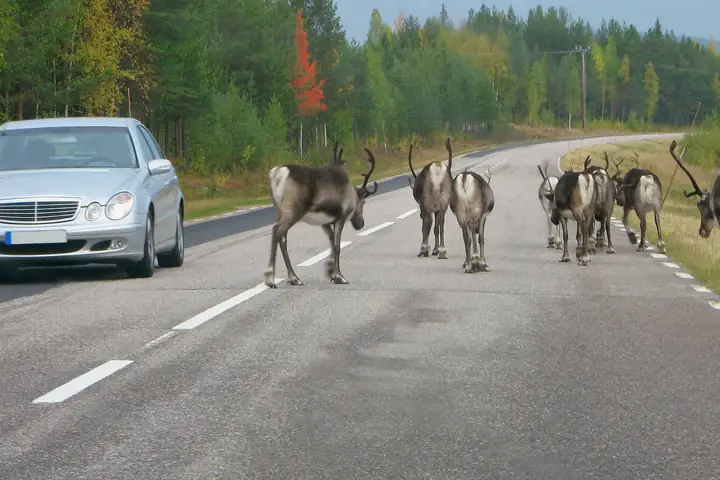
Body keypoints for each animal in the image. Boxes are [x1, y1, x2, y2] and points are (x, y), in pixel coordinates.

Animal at [263, 148, 378, 288]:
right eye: (364, 202)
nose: (361, 224)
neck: (351, 193)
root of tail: (278, 173)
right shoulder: (341, 217)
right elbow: (337, 247)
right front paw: (339, 276)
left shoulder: (325, 223)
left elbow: (332, 243)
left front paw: (330, 271)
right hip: (292, 210)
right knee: (276, 231)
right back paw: (270, 278)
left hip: (279, 210)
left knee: (282, 238)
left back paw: (294, 278)